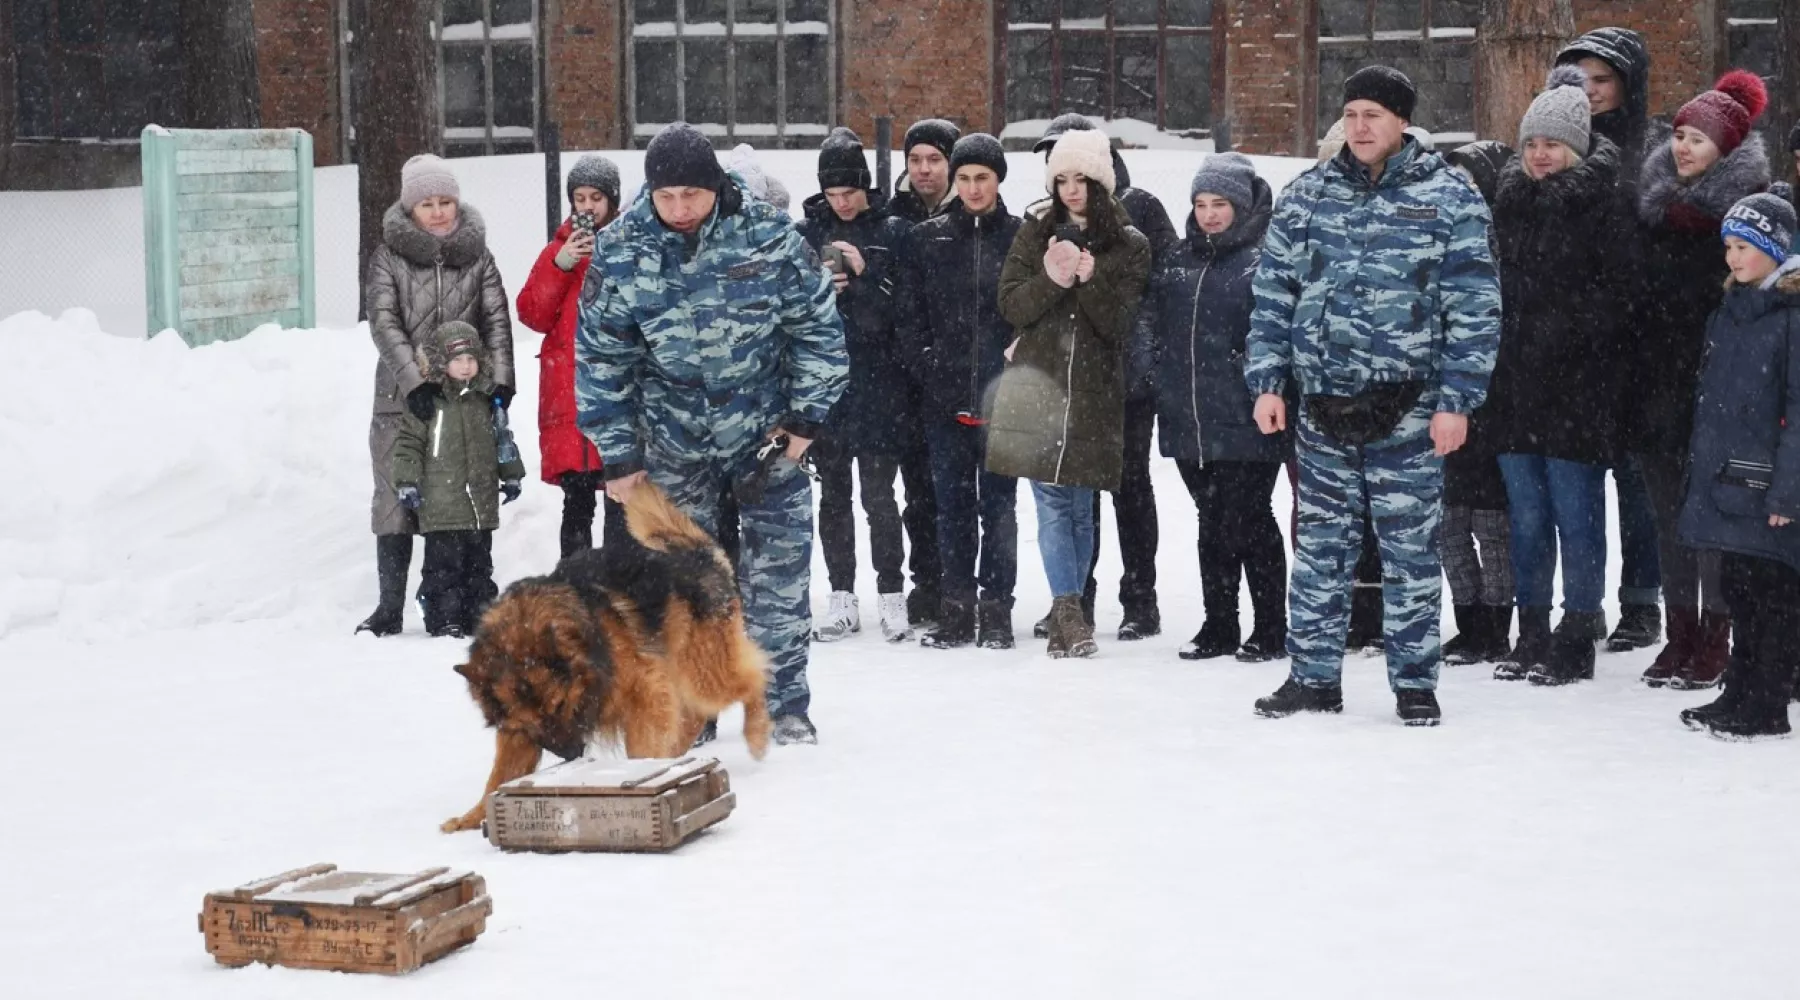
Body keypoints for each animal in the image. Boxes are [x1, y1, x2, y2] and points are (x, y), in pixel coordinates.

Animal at [442, 485, 774, 834]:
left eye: (559, 705)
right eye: (532, 721)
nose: (571, 754)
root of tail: (698, 553)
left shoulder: (646, 689)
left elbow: (642, 743)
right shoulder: (516, 728)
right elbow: (500, 774)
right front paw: (472, 817)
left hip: (704, 669)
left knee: (754, 677)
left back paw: (756, 733)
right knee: (697, 715)